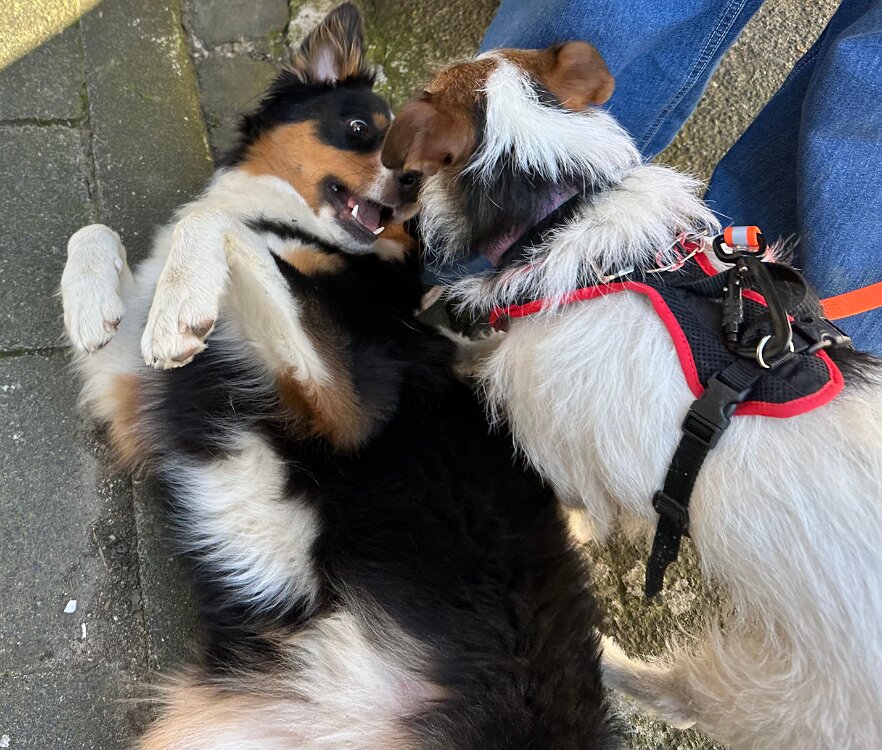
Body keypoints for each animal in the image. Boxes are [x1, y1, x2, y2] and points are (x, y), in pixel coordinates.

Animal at [61, 7, 619, 748]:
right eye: (360, 128)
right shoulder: (130, 392)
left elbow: (219, 226)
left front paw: (179, 302)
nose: (409, 184)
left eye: (421, 166)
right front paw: (95, 307)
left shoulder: (350, 403)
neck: (321, 240)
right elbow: (96, 235)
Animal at [380, 43, 882, 749]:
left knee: (689, 700)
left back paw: (613, 659)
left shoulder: (557, 438)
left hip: (785, 694)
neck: (563, 211)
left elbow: (569, 497)